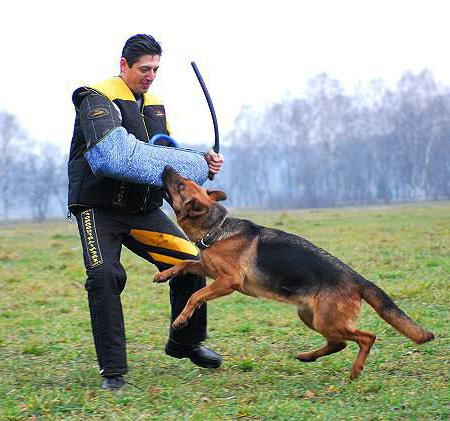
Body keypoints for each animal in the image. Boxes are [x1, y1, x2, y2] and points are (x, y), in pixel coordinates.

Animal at [156, 167, 434, 378]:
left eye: (180, 184)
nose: (166, 167)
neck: (216, 228)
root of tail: (358, 279)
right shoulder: (209, 269)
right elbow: (185, 264)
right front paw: (164, 275)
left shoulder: (228, 281)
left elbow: (195, 296)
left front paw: (181, 319)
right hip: (310, 317)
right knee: (338, 343)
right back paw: (307, 357)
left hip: (326, 320)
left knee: (366, 337)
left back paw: (355, 370)